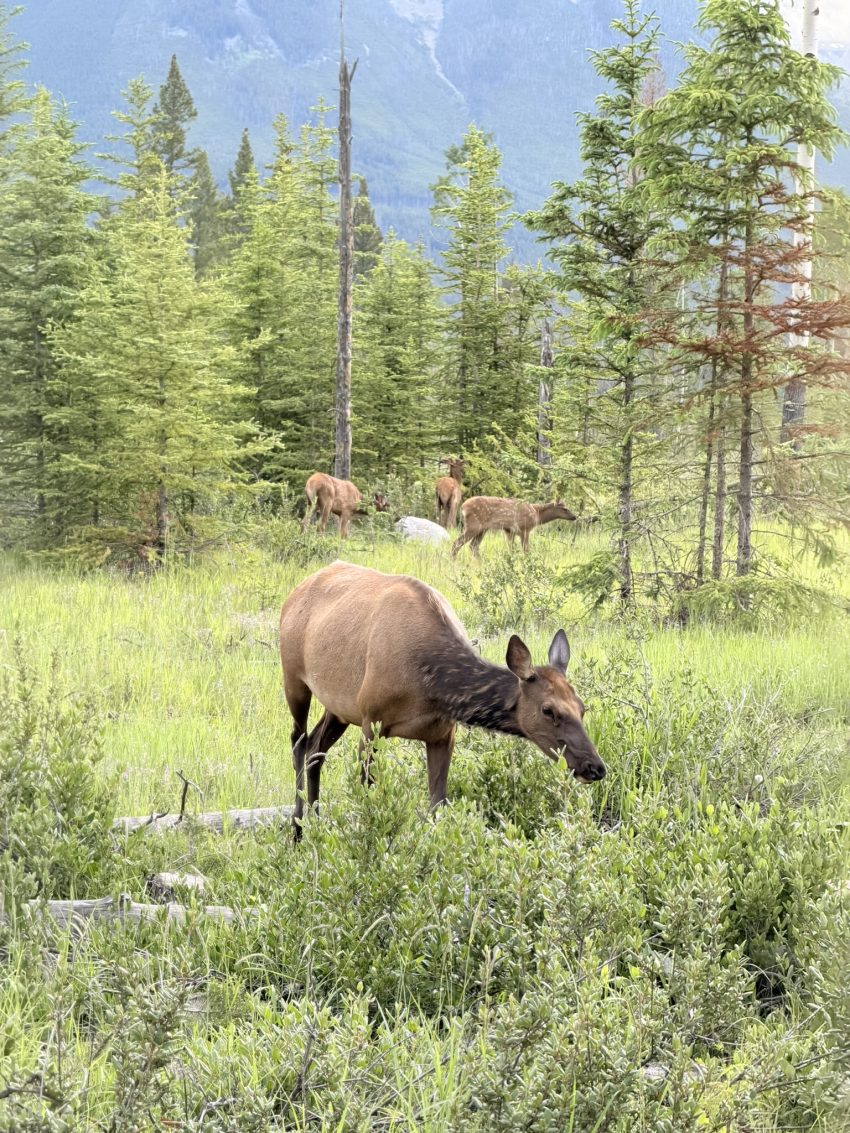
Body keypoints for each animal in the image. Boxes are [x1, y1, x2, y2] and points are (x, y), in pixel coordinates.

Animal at [279, 561, 605, 838]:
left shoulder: (442, 733)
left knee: (316, 749)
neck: (431, 687)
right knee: (298, 742)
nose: (595, 767)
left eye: (583, 708)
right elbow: (366, 794)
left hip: (339, 708)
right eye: (548, 710)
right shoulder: (372, 721)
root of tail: (293, 594)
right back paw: (297, 829)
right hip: (294, 678)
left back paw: (315, 823)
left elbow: (437, 804)